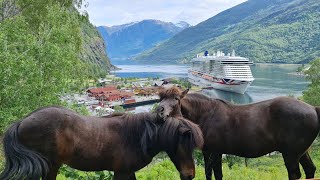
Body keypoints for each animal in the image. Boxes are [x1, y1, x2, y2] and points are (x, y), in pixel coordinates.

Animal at [0, 106, 202, 179]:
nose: (190, 175)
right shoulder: (121, 173)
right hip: (49, 166)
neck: (138, 136)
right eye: (184, 144)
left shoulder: (128, 172)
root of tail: (22, 121)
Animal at [157, 86, 320, 179]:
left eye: (176, 99)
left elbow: (214, 174)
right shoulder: (211, 152)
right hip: (301, 152)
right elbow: (214, 174)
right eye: (161, 98)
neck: (206, 114)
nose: (160, 111)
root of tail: (313, 108)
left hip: (290, 154)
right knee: (310, 170)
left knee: (295, 174)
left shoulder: (213, 152)